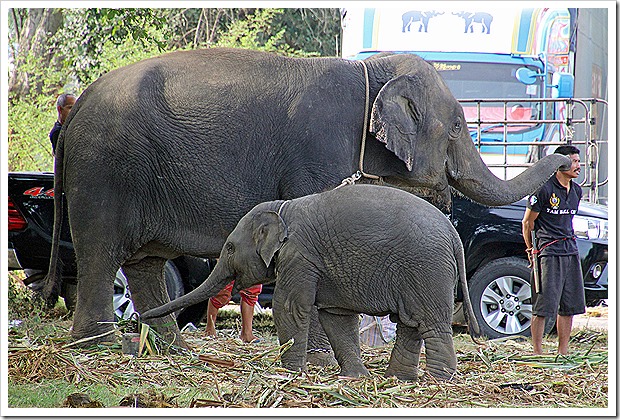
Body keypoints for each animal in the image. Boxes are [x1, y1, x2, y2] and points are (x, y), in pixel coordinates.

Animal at [41, 46, 568, 348]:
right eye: (458, 127)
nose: (569, 152)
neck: (371, 72)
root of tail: (76, 108)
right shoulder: (320, 151)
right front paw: (317, 352)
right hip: (102, 169)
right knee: (100, 252)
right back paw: (97, 345)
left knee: (146, 262)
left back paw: (172, 349)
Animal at [144, 185, 480, 380]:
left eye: (228, 248)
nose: (138, 318)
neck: (282, 208)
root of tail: (454, 237)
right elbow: (336, 317)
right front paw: (354, 378)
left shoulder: (300, 255)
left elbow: (290, 306)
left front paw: (290, 373)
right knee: (410, 324)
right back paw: (398, 380)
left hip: (427, 269)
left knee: (430, 323)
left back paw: (438, 380)